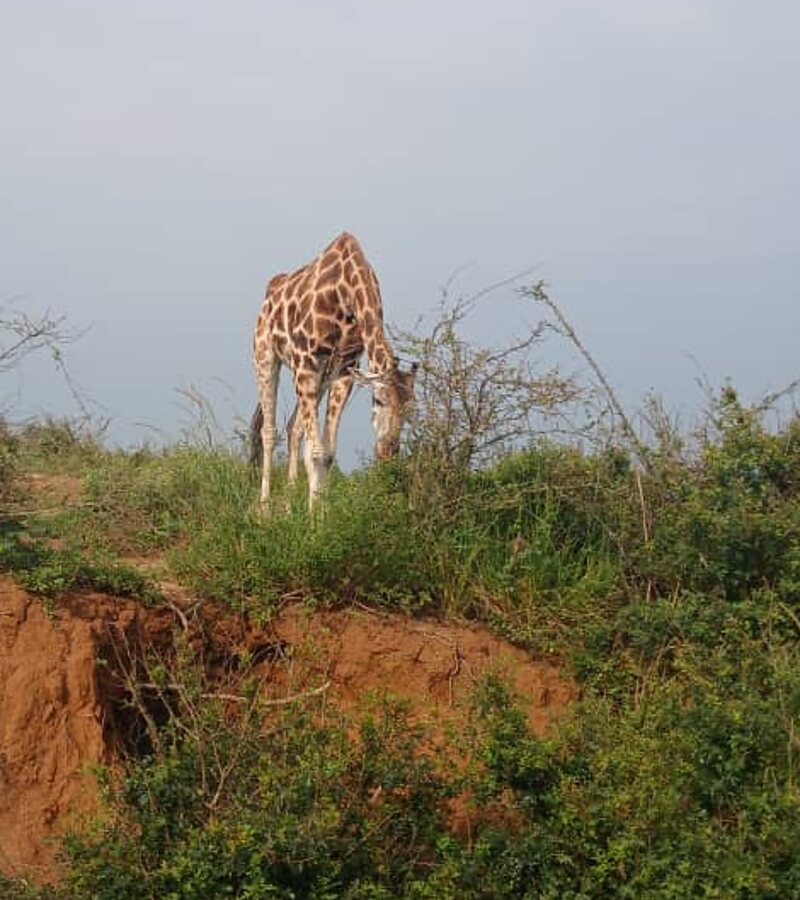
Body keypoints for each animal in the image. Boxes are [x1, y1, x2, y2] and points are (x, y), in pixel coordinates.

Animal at [251, 232, 417, 508]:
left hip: (321, 377)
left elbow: (327, 453)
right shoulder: (306, 362)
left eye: (411, 408)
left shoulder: (345, 369)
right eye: (379, 400)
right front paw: (314, 516)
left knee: (294, 427)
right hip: (265, 356)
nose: (388, 453)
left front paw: (321, 511)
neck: (347, 291)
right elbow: (317, 452)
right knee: (269, 431)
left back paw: (288, 505)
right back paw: (264, 508)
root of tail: (271, 290)